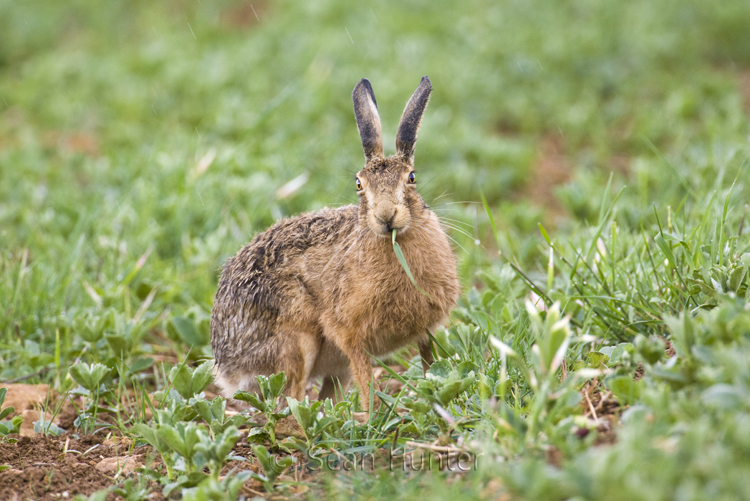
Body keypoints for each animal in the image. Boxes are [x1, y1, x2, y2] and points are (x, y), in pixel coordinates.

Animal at [210, 76, 460, 411]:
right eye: (359, 184)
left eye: (411, 178)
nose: (386, 216)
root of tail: (226, 366)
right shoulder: (350, 335)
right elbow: (366, 382)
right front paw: (373, 417)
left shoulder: (425, 332)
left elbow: (429, 365)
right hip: (296, 342)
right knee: (290, 402)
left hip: (331, 366)